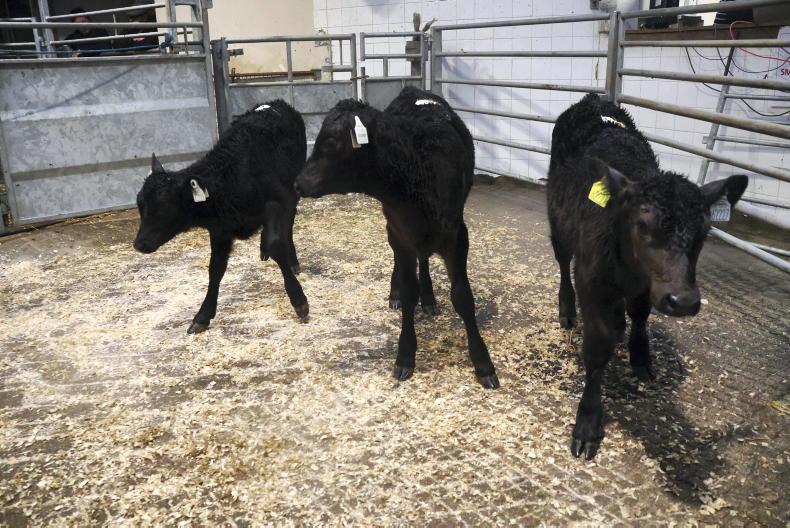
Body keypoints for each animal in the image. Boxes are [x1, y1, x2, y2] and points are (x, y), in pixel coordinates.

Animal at [133, 99, 309, 334]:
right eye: (139, 205)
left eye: (163, 207)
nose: (138, 244)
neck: (230, 178)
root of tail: (274, 103)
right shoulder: (220, 229)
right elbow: (215, 268)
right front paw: (202, 315)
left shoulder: (276, 203)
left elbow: (276, 244)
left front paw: (299, 300)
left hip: (291, 192)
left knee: (288, 223)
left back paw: (292, 261)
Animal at [295, 86, 499, 389]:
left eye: (330, 142)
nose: (298, 183)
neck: (415, 171)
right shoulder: (400, 234)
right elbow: (408, 289)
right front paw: (405, 355)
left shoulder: (457, 235)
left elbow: (462, 296)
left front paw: (483, 363)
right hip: (394, 230)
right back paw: (396, 293)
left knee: (424, 260)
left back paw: (429, 298)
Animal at [547, 93, 748, 460]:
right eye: (642, 224)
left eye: (705, 230)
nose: (683, 301)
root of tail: (593, 100)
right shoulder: (592, 282)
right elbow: (597, 348)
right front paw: (588, 422)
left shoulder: (646, 287)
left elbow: (639, 315)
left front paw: (641, 356)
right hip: (558, 222)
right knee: (562, 261)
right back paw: (567, 310)